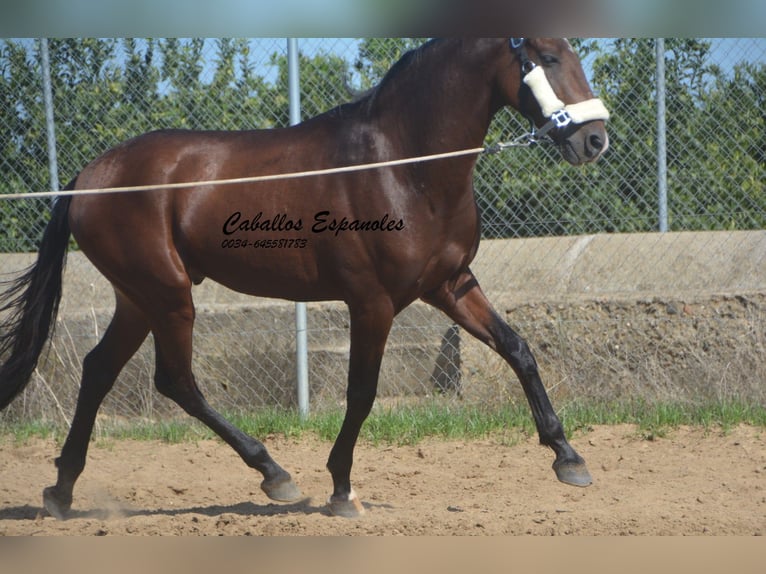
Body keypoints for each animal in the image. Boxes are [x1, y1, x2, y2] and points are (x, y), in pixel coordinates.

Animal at [0, 38, 612, 520]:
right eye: (548, 57)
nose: (595, 140)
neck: (402, 166)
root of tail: (87, 178)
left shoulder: (451, 284)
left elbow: (518, 349)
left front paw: (569, 458)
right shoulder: (372, 302)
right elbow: (361, 391)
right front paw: (341, 489)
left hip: (138, 299)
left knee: (99, 370)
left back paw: (61, 491)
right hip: (168, 296)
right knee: (175, 381)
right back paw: (274, 474)